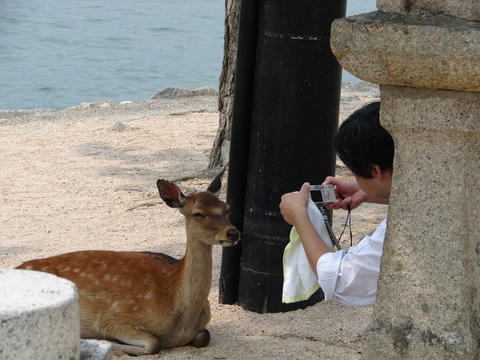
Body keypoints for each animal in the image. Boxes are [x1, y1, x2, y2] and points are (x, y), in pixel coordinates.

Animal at [15, 172, 240, 354]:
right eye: (198, 213)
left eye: (227, 208)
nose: (233, 232)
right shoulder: (114, 318)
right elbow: (153, 343)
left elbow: (204, 336)